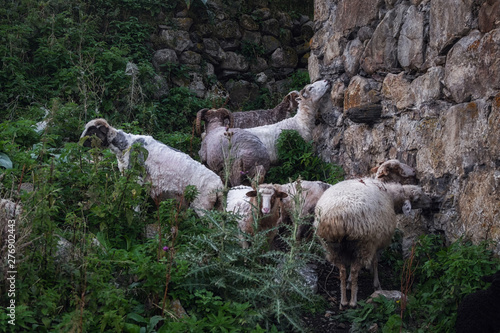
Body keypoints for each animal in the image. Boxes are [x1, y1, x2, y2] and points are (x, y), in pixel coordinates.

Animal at [80, 118, 223, 214]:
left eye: (92, 131)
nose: (79, 143)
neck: (125, 145)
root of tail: (220, 186)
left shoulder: (136, 178)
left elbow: (135, 202)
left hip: (202, 205)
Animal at [314, 178, 432, 308]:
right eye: (417, 199)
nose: (432, 201)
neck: (391, 196)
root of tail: (340, 217)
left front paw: (349, 283)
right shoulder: (377, 242)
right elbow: (375, 262)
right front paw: (377, 285)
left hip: (331, 246)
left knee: (342, 270)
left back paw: (343, 300)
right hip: (364, 243)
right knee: (355, 270)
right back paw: (353, 301)